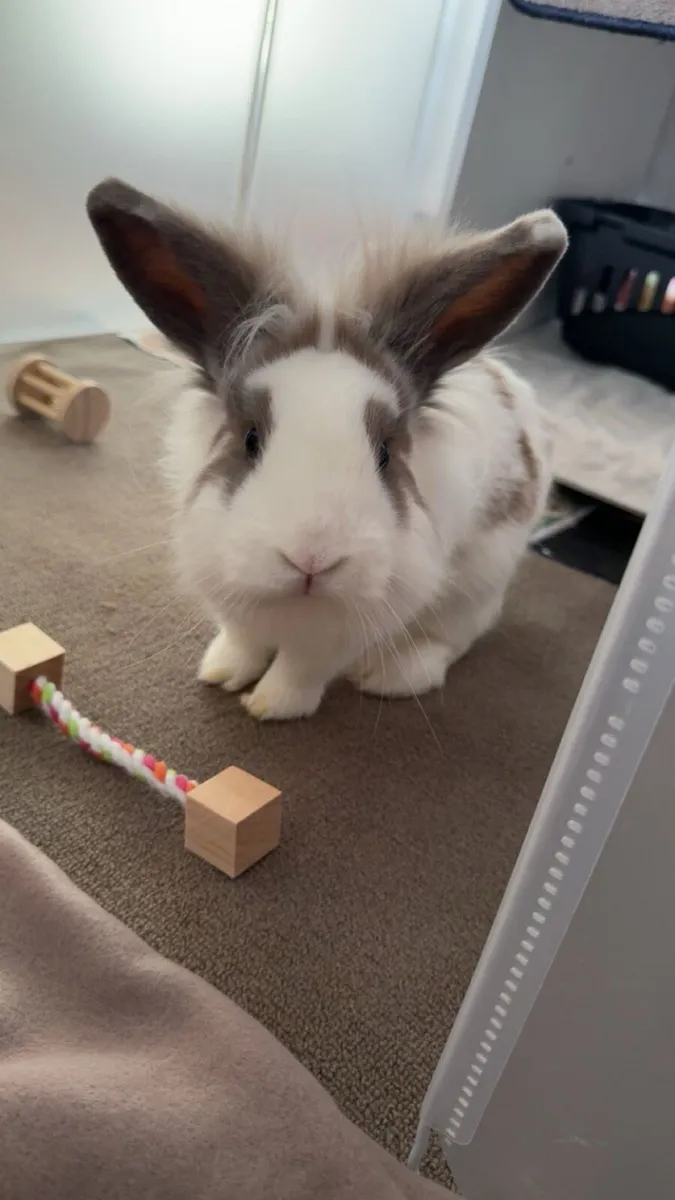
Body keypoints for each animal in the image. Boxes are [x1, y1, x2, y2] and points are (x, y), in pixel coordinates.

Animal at [87, 179, 566, 721]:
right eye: (250, 439)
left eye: (385, 452)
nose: (311, 560)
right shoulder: (227, 590)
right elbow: (243, 640)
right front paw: (222, 673)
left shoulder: (348, 625)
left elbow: (302, 668)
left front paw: (270, 706)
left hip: (476, 588)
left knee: (447, 643)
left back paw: (388, 677)